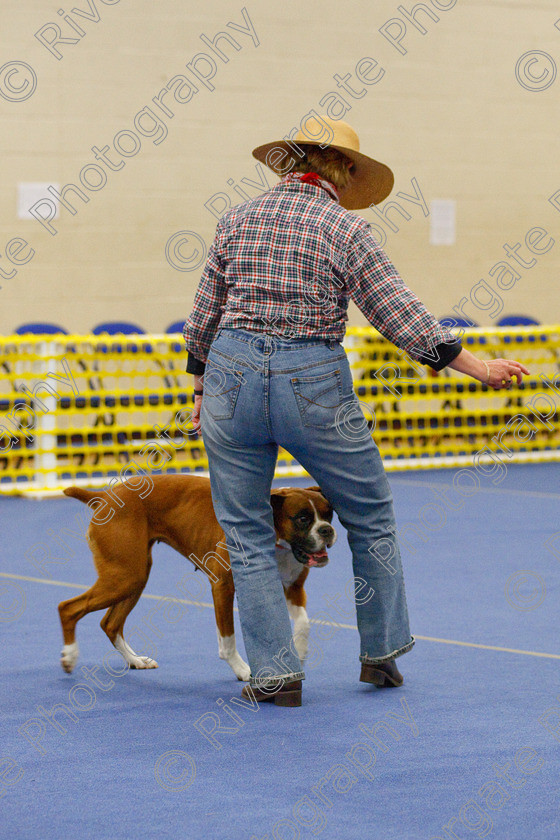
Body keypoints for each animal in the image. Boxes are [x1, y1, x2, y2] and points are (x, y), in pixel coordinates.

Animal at [57, 476, 336, 680]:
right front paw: (242, 669)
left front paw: (299, 651)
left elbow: (304, 623)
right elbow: (228, 638)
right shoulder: (223, 586)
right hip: (124, 577)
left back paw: (135, 661)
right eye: (302, 518)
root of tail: (103, 496)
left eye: (328, 514)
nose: (327, 530)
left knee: (110, 624)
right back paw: (70, 656)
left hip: (134, 577)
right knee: (68, 608)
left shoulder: (293, 588)